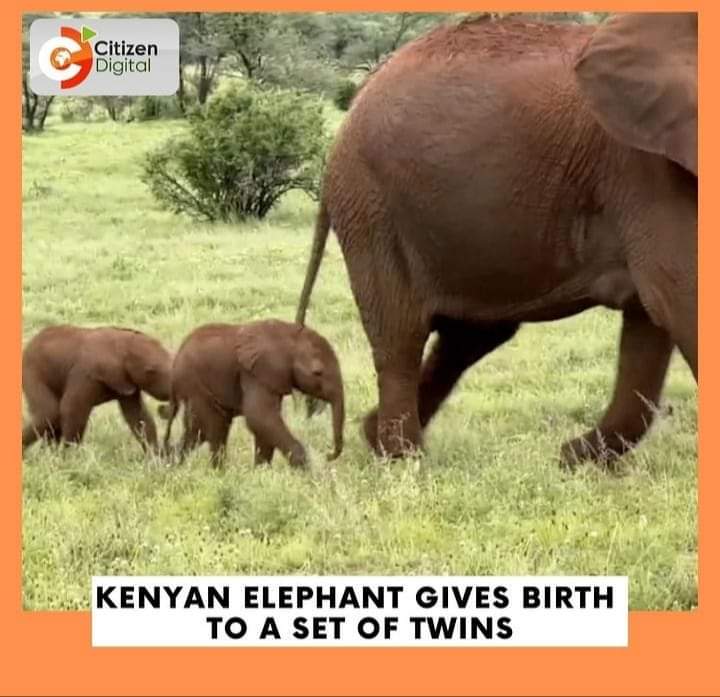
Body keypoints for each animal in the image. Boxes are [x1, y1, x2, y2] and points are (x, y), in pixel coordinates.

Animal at [22, 325, 172, 453]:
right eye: (150, 371)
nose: (162, 408)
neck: (121, 345)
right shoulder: (86, 374)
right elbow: (72, 409)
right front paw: (67, 457)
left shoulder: (126, 381)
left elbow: (138, 416)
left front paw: (156, 458)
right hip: (32, 370)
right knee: (49, 413)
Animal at [160, 320, 345, 468]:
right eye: (318, 372)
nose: (329, 455)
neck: (288, 335)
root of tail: (175, 366)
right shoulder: (255, 374)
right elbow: (260, 418)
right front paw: (307, 471)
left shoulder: (271, 379)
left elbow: (264, 425)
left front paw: (261, 473)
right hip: (196, 385)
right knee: (214, 429)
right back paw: (218, 474)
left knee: (196, 431)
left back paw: (171, 465)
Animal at [296, 13, 697, 465]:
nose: (566, 454)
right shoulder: (648, 171)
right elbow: (678, 297)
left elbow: (653, 315)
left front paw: (571, 460)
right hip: (372, 206)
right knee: (402, 335)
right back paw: (406, 460)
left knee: (470, 336)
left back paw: (375, 436)